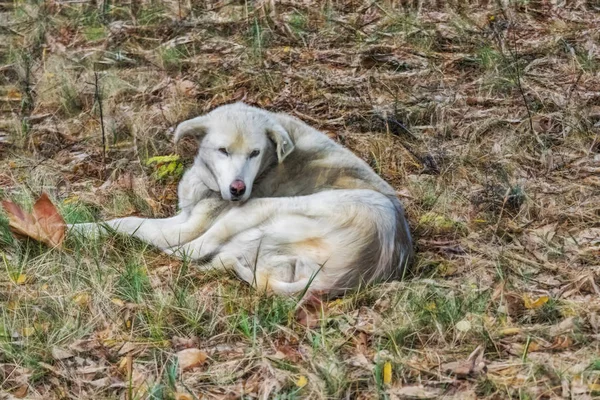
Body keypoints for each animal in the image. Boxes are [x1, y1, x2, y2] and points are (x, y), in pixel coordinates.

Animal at [71, 102, 412, 296]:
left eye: (255, 153)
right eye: (223, 150)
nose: (237, 189)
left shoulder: (187, 226)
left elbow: (127, 223)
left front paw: (76, 229)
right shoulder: (185, 217)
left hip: (265, 211)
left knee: (193, 251)